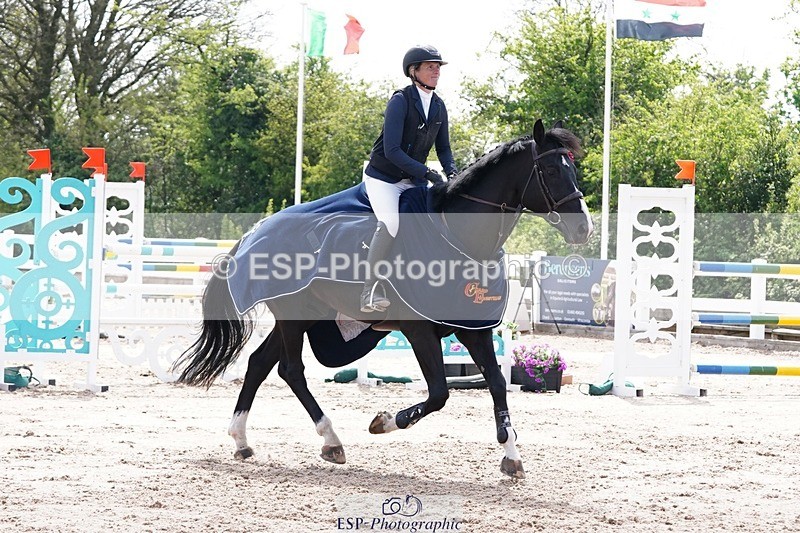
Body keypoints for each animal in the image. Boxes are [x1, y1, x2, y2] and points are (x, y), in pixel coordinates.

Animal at [172, 119, 593, 479]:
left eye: (572, 170)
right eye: (550, 171)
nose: (584, 229)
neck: (460, 239)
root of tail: (255, 231)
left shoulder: (473, 328)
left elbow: (497, 386)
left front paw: (512, 458)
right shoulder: (419, 330)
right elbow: (439, 394)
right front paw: (384, 422)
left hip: (308, 312)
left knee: (260, 363)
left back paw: (242, 440)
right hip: (294, 312)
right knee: (291, 370)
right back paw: (331, 440)